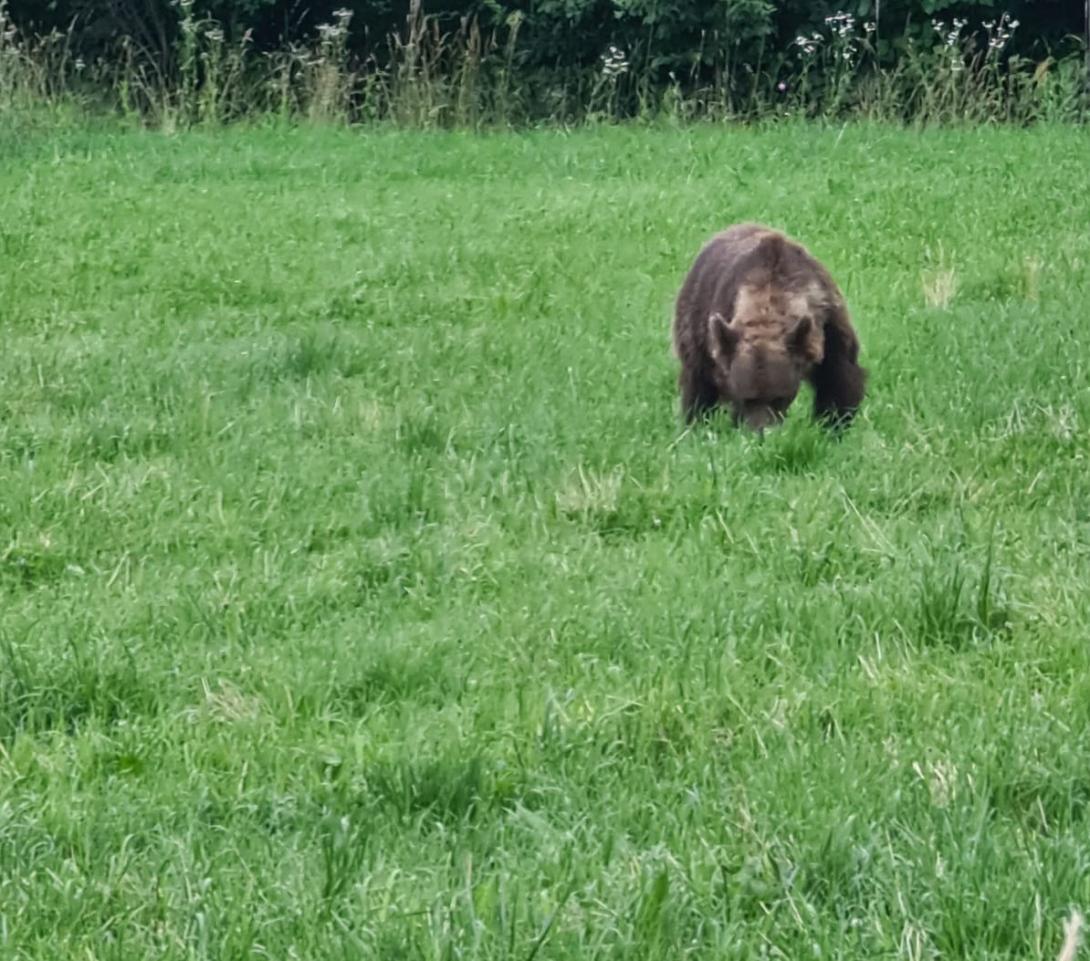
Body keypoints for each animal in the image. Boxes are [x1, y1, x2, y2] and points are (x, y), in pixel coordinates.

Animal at [667, 221, 863, 431]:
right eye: (747, 398)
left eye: (778, 398)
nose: (760, 431)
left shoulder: (828, 324)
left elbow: (839, 378)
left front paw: (834, 424)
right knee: (697, 382)